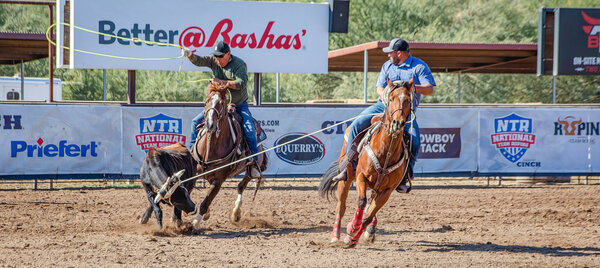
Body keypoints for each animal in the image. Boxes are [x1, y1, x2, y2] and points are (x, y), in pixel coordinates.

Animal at [191, 80, 268, 227]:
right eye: (207, 101)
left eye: (221, 103)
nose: (210, 124)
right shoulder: (194, 172)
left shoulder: (218, 180)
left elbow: (205, 202)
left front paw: (194, 224)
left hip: (250, 168)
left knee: (241, 186)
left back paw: (236, 213)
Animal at [318, 78, 412, 246]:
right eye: (391, 98)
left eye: (408, 99)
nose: (397, 123)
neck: (386, 151)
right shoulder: (361, 176)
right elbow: (361, 201)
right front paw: (352, 227)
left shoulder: (387, 190)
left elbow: (368, 216)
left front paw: (353, 237)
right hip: (346, 177)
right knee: (341, 206)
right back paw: (335, 235)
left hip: (376, 187)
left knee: (370, 208)